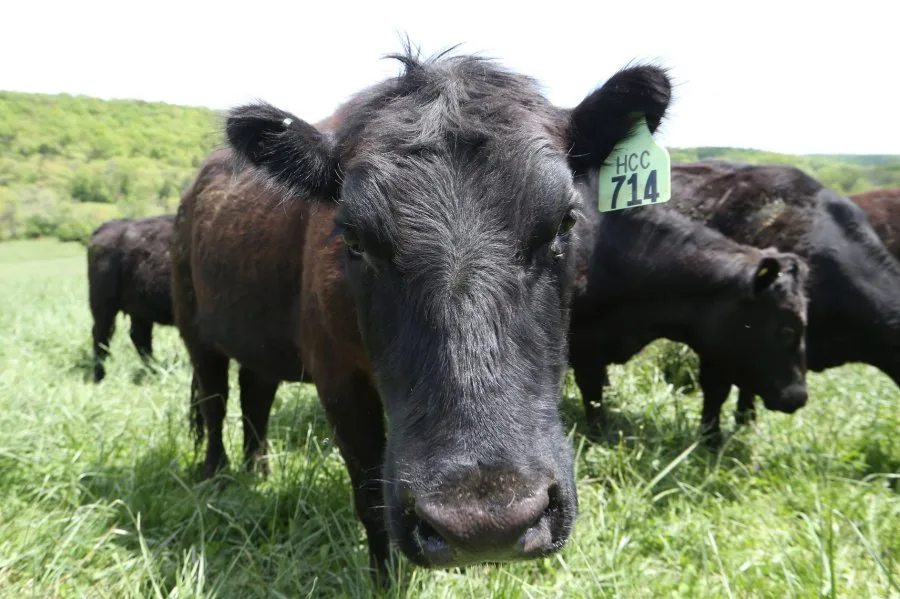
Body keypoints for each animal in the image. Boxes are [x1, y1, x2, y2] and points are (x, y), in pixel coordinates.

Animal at [87, 214, 175, 382]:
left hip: (140, 310)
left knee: (140, 337)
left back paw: (154, 371)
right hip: (104, 306)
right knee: (101, 336)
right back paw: (99, 377)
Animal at [171, 46, 673, 581]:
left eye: (565, 220)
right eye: (353, 238)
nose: (485, 523)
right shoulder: (337, 378)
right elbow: (368, 494)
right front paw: (382, 580)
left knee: (255, 394)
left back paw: (258, 470)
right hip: (193, 328)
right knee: (214, 399)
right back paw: (216, 475)